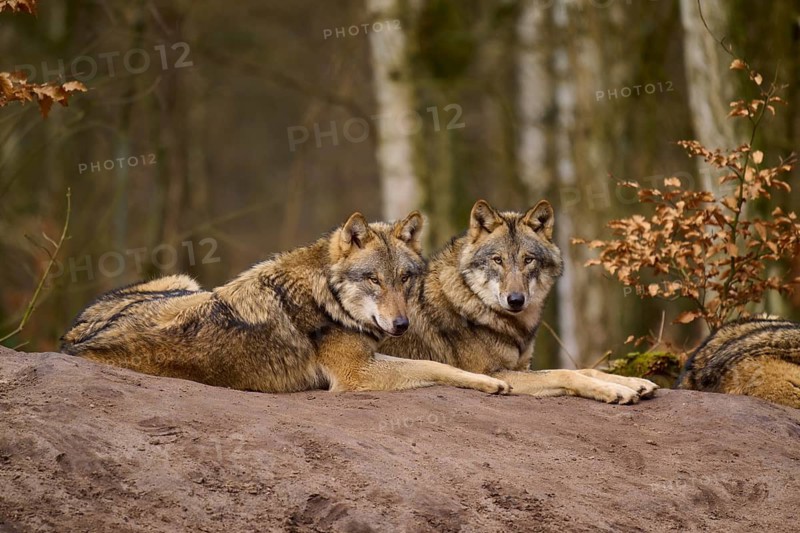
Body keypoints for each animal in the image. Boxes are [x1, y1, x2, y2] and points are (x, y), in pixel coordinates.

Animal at [61, 211, 511, 395]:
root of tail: (71, 340)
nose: (400, 325)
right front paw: (492, 382)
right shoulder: (356, 374)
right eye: (373, 280)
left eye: (404, 278)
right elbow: (436, 366)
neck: (328, 295)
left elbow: (433, 363)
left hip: (189, 282)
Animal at [379, 199, 659, 404]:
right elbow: (566, 373)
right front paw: (616, 391)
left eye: (528, 259)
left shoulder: (522, 367)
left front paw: (634, 383)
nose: (515, 300)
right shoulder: (493, 373)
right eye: (497, 260)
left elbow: (587, 370)